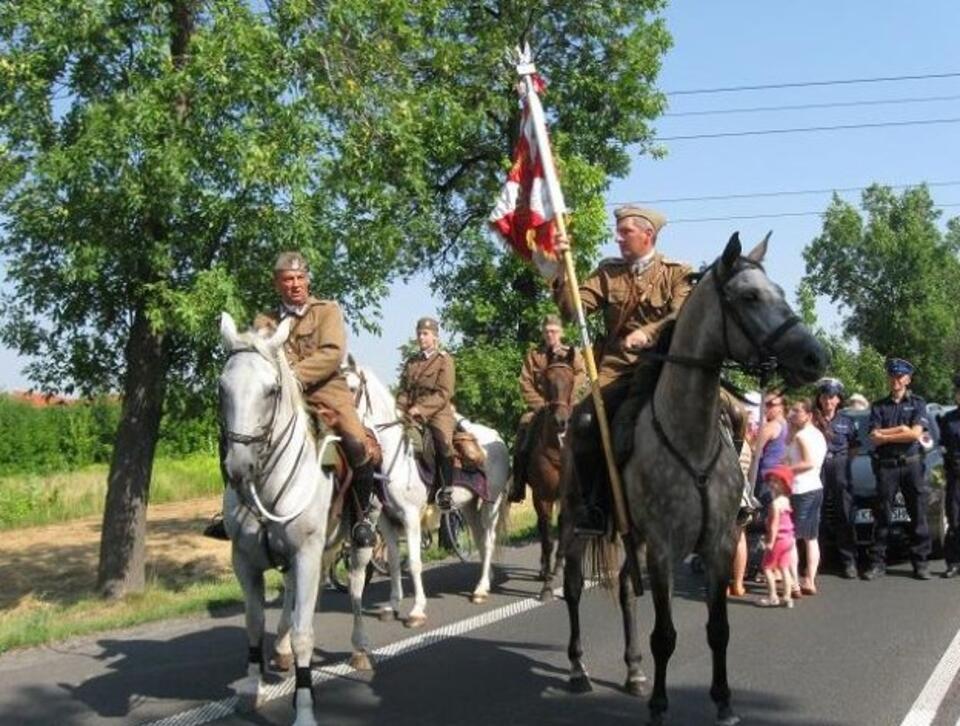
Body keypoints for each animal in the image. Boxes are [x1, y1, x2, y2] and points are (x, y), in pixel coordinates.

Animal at [219, 312, 374, 726]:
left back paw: (360, 649)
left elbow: (307, 633)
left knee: (355, 589)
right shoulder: (245, 559)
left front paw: (304, 709)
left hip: (358, 546)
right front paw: (251, 688)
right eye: (222, 387)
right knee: (295, 597)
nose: (238, 468)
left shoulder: (306, 553)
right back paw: (282, 649)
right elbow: (254, 622)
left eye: (272, 390)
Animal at [344, 364, 510, 624]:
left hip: (491, 503)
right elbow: (393, 563)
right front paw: (392, 606)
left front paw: (417, 610)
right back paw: (486, 580)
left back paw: (481, 590)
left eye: (352, 388)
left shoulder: (411, 517)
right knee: (480, 538)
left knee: (489, 540)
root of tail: (497, 438)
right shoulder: (387, 521)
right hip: (469, 506)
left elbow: (414, 563)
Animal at [560, 235, 828, 726]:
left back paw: (633, 672)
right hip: (574, 521)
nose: (816, 357)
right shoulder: (665, 549)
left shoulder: (719, 543)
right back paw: (578, 669)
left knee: (626, 590)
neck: (690, 433)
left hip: (633, 537)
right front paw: (660, 706)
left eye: (779, 290)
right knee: (571, 588)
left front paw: (723, 702)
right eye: (750, 296)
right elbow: (665, 635)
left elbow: (718, 628)